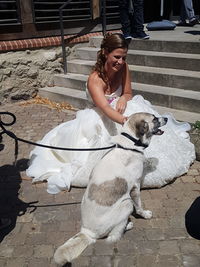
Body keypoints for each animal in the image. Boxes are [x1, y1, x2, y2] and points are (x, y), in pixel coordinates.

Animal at [53, 112, 167, 264]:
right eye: (154, 119)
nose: (166, 118)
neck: (130, 144)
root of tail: (87, 232)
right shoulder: (135, 187)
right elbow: (139, 206)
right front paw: (145, 214)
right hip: (127, 203)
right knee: (113, 236)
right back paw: (128, 225)